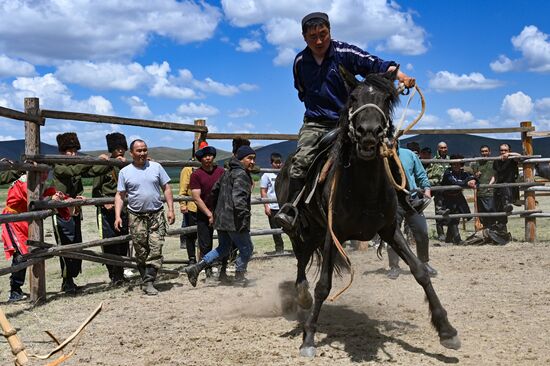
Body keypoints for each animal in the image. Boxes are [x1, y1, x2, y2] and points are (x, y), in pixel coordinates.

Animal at [278, 68, 464, 358]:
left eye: (387, 99)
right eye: (353, 97)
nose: (368, 132)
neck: (362, 188)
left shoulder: (389, 230)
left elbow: (420, 271)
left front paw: (446, 330)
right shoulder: (333, 234)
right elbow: (323, 286)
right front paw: (308, 339)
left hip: (317, 232)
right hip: (301, 229)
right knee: (300, 260)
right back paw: (302, 296)